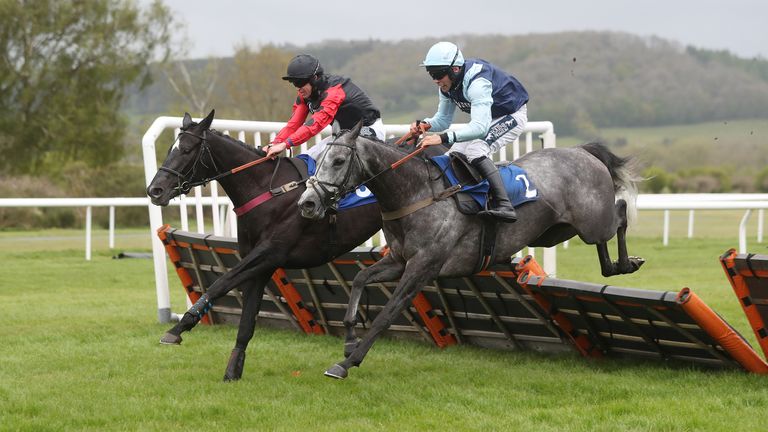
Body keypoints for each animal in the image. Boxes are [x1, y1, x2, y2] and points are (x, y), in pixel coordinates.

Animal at [296, 120, 644, 378]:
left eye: (338, 161)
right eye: (319, 161)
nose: (308, 203)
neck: (415, 192)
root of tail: (581, 151)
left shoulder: (422, 268)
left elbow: (387, 314)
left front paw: (347, 362)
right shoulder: (397, 260)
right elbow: (358, 281)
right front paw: (349, 341)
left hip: (590, 222)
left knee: (621, 213)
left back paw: (628, 262)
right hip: (555, 232)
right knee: (604, 244)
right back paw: (616, 265)